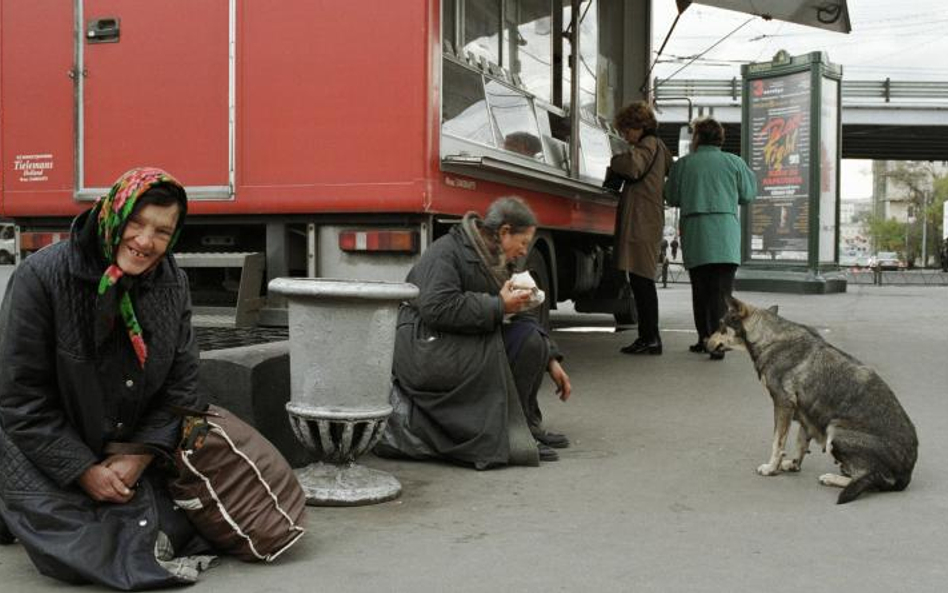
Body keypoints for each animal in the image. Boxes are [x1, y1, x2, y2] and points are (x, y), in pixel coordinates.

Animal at [712, 296, 920, 504]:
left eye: (721, 325)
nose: (707, 341)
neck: (769, 336)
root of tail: (905, 476)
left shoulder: (783, 404)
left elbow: (777, 443)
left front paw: (771, 468)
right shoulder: (806, 413)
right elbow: (800, 443)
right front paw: (793, 464)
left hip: (835, 432)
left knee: (873, 479)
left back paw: (833, 478)